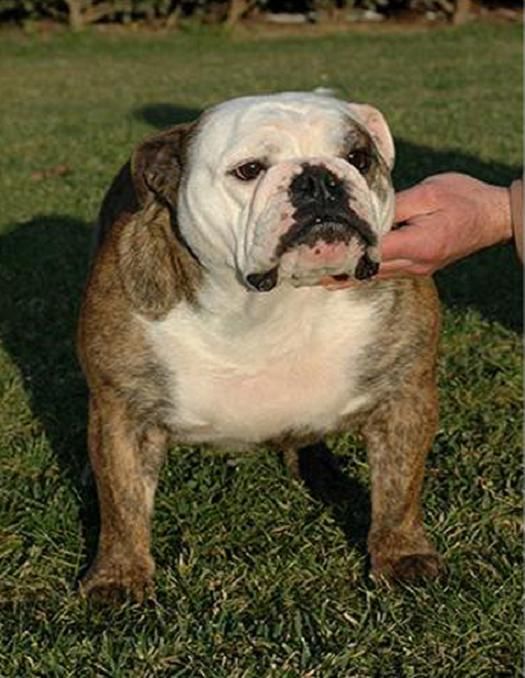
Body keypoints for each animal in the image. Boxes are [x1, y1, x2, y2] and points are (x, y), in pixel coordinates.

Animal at [78, 91, 441, 601]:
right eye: (249, 170)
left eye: (359, 158)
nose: (319, 180)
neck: (271, 305)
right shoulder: (122, 411)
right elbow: (122, 501)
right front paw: (117, 575)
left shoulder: (406, 394)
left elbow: (399, 486)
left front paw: (403, 555)